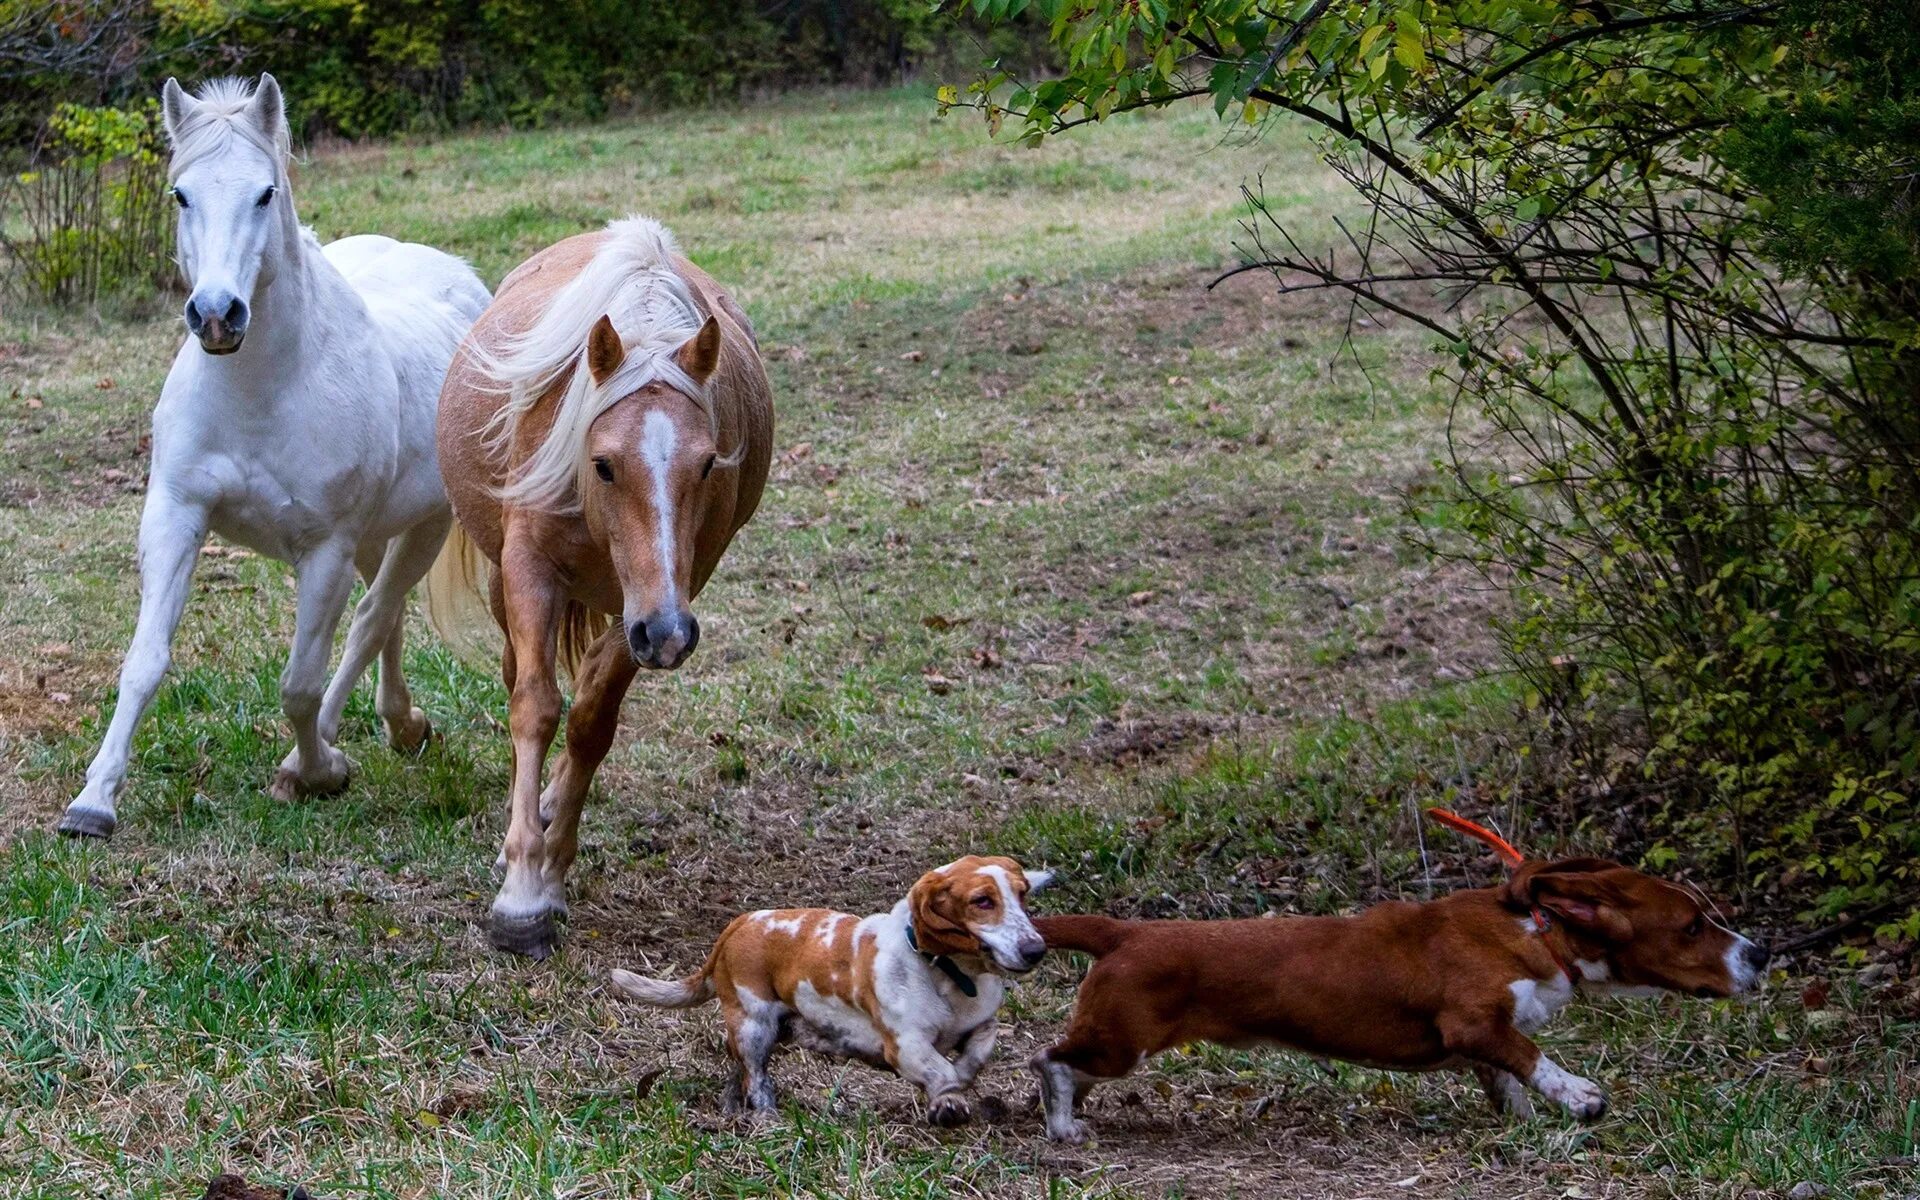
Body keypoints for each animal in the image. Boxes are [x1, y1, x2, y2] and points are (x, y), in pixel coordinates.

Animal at [57, 72, 491, 833]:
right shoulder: (176, 516)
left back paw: (334, 747)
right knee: (385, 618)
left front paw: (316, 771)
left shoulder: (325, 551)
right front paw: (93, 801)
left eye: (265, 193)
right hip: (377, 535)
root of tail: (460, 278)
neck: (261, 391)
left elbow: (299, 683)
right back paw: (401, 723)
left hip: (425, 526)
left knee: (372, 618)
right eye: (181, 194)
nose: (217, 315)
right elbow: (144, 660)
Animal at [432, 219, 768, 960]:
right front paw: (521, 895)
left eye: (708, 463)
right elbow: (534, 706)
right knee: (516, 674)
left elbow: (590, 721)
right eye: (605, 464)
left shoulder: (653, 601)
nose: (668, 636)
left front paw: (552, 867)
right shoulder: (530, 568)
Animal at [610, 852, 1052, 1121]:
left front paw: (959, 1084)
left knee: (738, 1076)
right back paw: (768, 1119)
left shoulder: (981, 1023)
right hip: (754, 1026)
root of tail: (739, 924)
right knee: (756, 1078)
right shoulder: (905, 1045)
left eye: (1022, 895)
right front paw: (948, 1100)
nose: (1036, 950)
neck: (949, 976)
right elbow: (939, 1069)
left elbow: (976, 1052)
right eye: (982, 901)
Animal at [1029, 810, 1758, 1136]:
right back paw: (1064, 1126)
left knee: (1067, 1068)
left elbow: (1509, 1078)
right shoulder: (1474, 1022)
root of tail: (1126, 932)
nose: (1761, 955)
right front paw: (1581, 1098)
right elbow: (1536, 1057)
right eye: (1692, 925)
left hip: (1114, 1044)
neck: (1538, 932)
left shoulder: (1485, 1042)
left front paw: (1524, 1124)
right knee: (1051, 1061)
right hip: (1121, 1041)